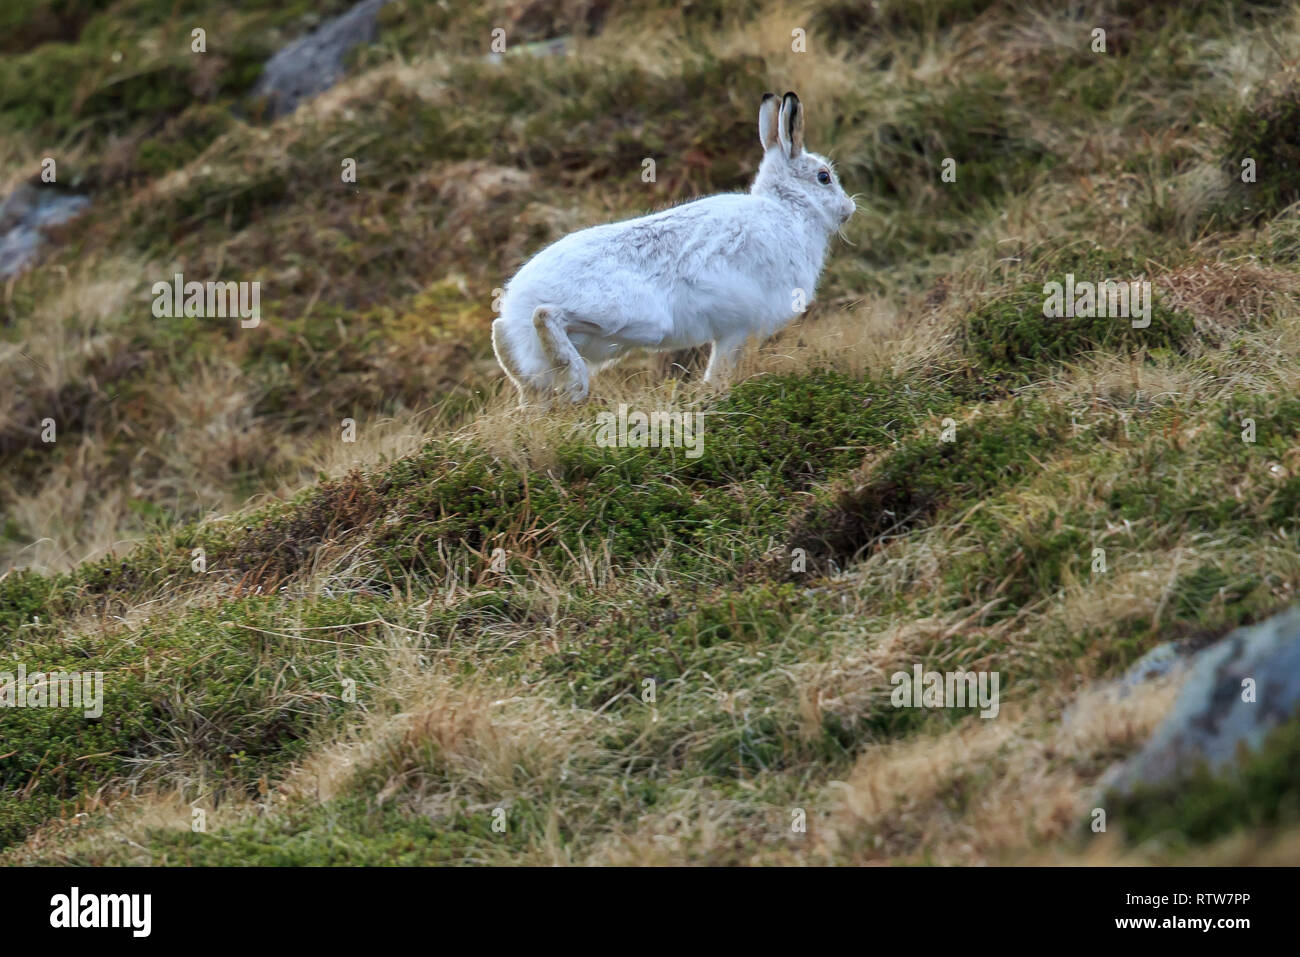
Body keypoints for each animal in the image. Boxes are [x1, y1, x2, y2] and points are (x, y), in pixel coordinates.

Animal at [491, 91, 855, 407]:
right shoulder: (736, 323)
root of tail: (517, 302)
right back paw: (577, 384)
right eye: (824, 177)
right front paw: (716, 396)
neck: (788, 208)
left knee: (511, 351)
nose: (849, 208)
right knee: (547, 315)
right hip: (634, 317)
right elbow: (719, 370)